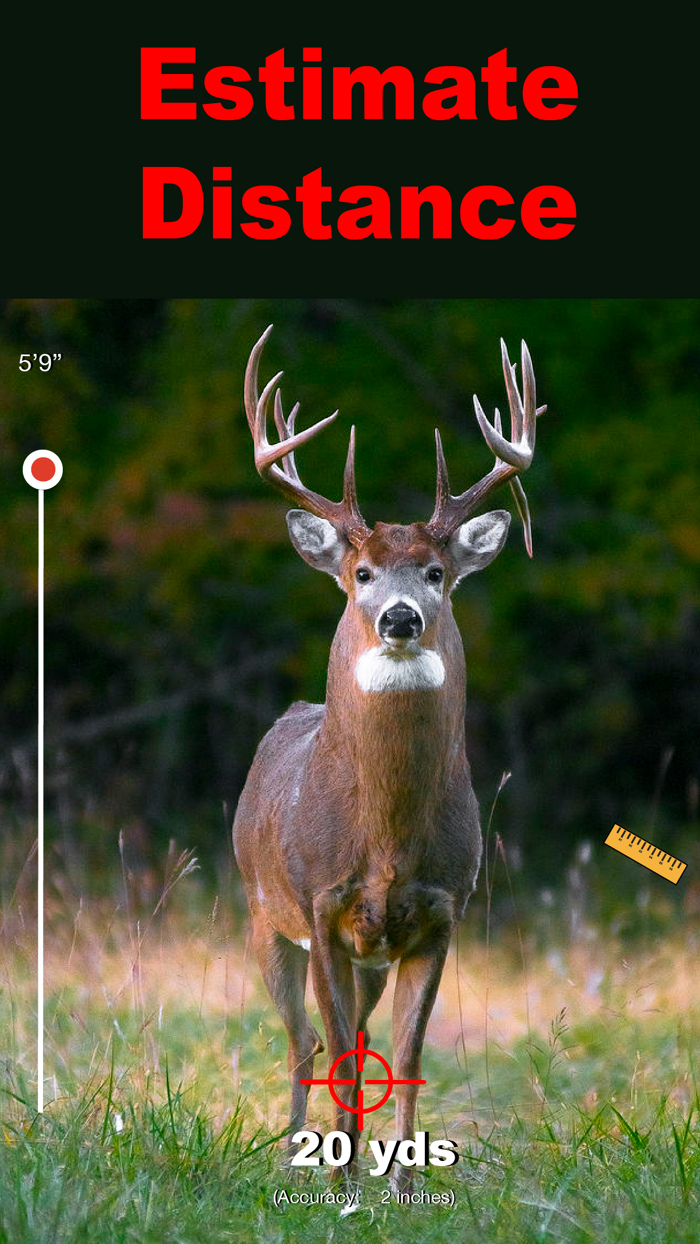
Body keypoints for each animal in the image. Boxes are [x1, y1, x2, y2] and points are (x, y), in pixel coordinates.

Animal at [233, 325, 545, 1187]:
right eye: (362, 572)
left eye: (437, 572)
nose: (400, 618)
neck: (386, 842)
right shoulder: (320, 904)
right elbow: (338, 1048)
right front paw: (339, 1183)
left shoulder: (442, 914)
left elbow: (406, 1056)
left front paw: (403, 1183)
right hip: (262, 916)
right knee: (303, 1040)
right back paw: (296, 1155)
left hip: (366, 954)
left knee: (352, 1038)